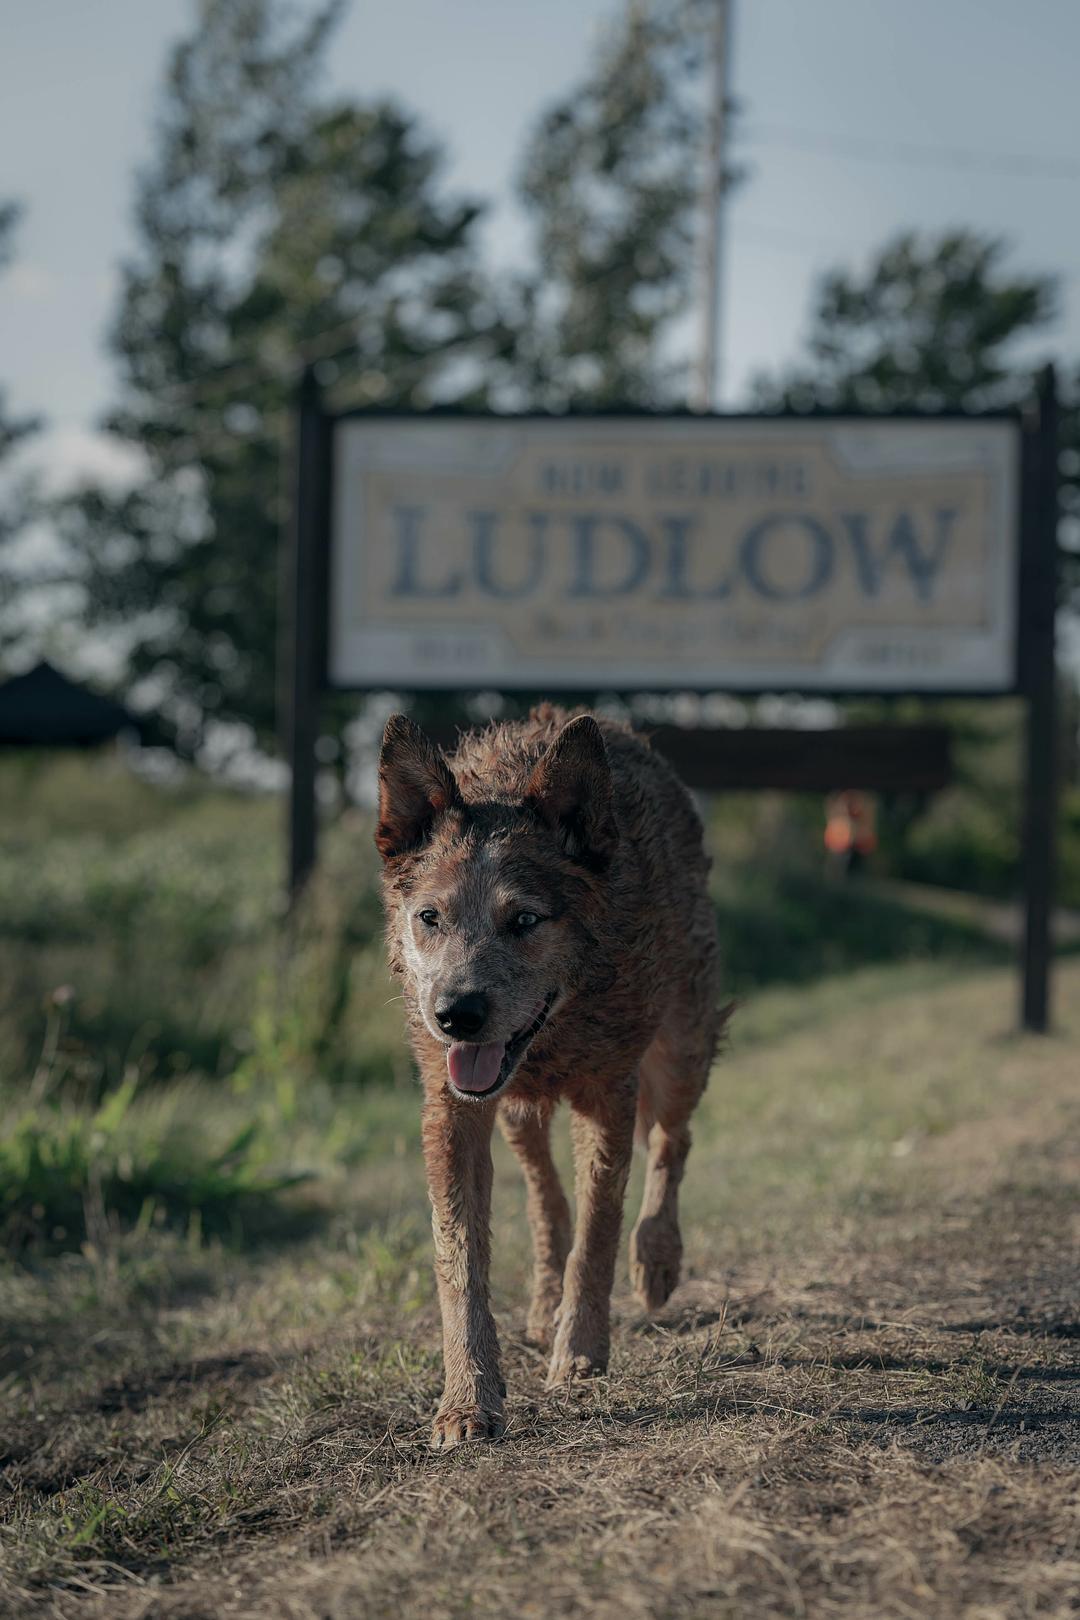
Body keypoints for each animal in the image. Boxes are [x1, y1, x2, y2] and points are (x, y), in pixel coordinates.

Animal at [375, 703, 722, 1451]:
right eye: (430, 917)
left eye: (525, 919)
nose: (456, 1014)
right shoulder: (452, 1110)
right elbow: (460, 1262)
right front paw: (466, 1402)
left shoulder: (609, 1094)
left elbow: (598, 1232)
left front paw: (581, 1353)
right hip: (515, 1112)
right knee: (544, 1197)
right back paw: (541, 1302)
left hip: (682, 1046)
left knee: (673, 1141)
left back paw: (656, 1259)